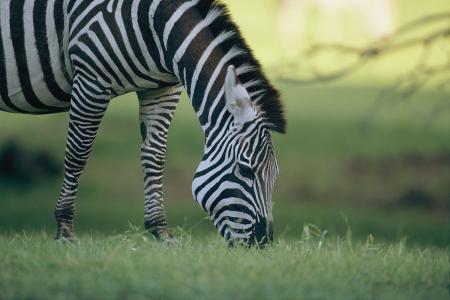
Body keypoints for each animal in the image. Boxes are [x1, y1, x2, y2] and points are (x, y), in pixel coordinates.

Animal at [0, 0, 286, 246]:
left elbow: (154, 156)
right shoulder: (91, 81)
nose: (262, 243)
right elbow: (77, 154)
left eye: (275, 175)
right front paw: (65, 231)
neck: (154, 25)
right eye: (246, 170)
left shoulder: (162, 88)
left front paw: (161, 232)